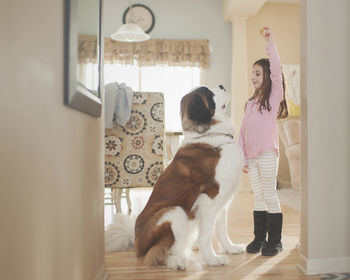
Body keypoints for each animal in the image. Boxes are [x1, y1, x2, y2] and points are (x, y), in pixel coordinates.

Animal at [135, 85, 245, 270]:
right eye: (209, 94)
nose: (222, 85)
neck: (209, 138)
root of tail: (136, 246)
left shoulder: (222, 202)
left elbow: (222, 229)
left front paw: (230, 248)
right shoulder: (209, 201)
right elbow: (207, 235)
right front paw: (213, 259)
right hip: (174, 212)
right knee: (159, 252)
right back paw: (177, 262)